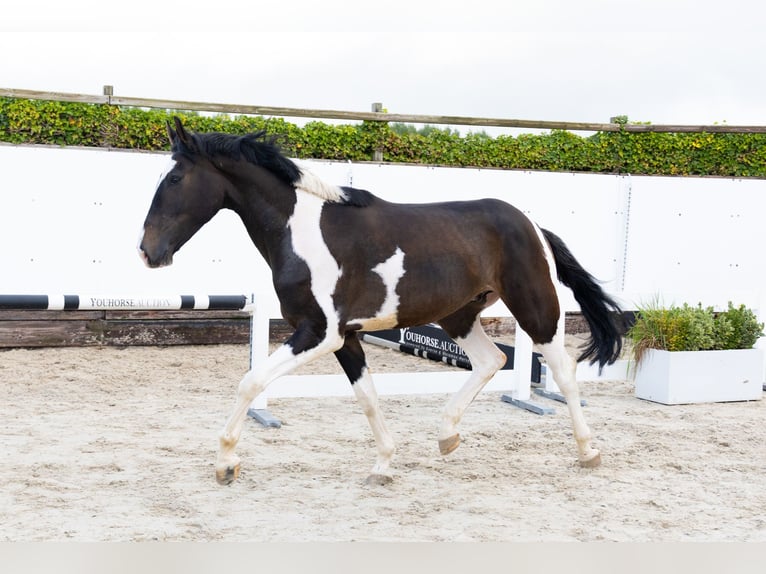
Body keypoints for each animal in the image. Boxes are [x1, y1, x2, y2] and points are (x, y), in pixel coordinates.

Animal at [139, 117, 624, 486]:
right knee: (491, 360)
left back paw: (589, 452)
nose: (147, 252)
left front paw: (226, 464)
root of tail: (533, 226)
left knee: (563, 371)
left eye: (176, 178)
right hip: (459, 315)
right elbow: (368, 397)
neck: (302, 232)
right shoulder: (346, 337)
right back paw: (447, 436)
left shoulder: (319, 333)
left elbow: (251, 382)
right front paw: (384, 465)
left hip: (536, 308)